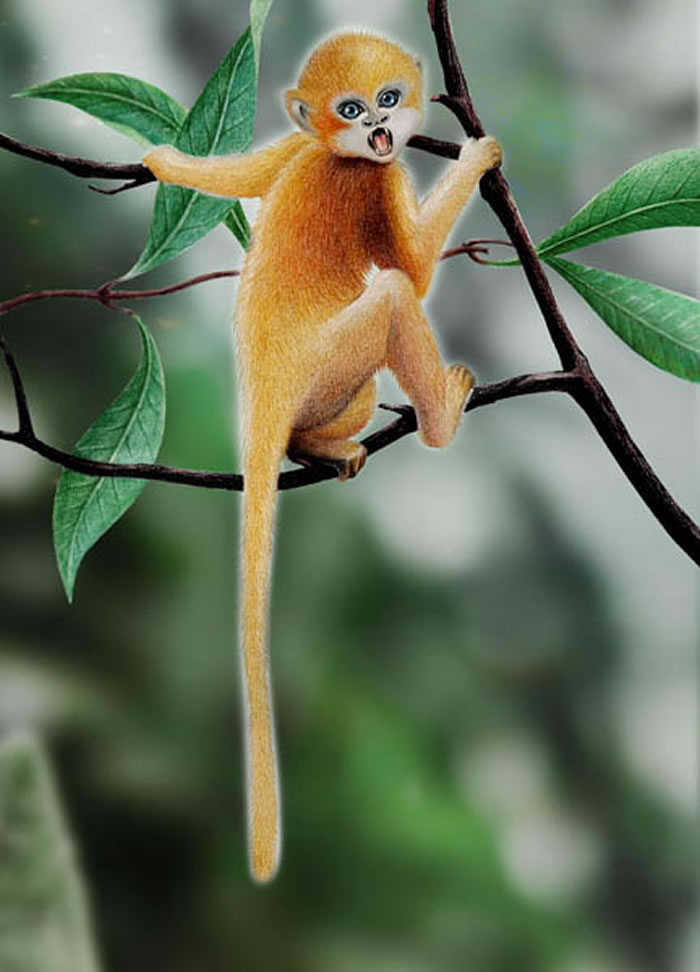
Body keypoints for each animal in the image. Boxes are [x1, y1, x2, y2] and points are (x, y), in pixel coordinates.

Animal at [142, 31, 502, 884]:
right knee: (393, 296)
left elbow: (242, 173)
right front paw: (478, 155)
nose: (379, 129)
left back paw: (320, 447)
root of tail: (264, 389)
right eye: (352, 108)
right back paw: (439, 420)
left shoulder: (296, 150)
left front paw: (163, 159)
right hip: (330, 367)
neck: (337, 156)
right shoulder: (372, 180)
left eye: (388, 98)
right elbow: (414, 270)